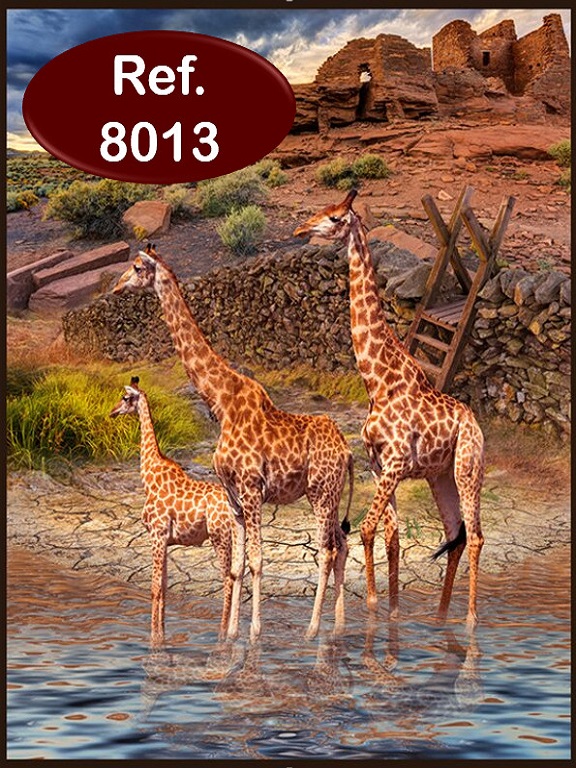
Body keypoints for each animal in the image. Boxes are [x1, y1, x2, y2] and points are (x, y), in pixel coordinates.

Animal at [110, 376, 244, 647]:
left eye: (125, 397)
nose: (112, 412)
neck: (149, 475)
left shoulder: (157, 534)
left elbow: (154, 588)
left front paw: (154, 638)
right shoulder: (166, 540)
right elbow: (164, 587)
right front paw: (162, 634)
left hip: (219, 537)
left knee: (227, 579)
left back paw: (221, 634)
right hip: (233, 536)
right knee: (237, 577)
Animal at [294, 190, 485, 630]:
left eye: (335, 218)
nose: (299, 229)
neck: (377, 381)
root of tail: (476, 424)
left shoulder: (396, 462)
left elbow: (366, 530)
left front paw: (372, 607)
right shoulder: (381, 465)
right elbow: (391, 537)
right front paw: (393, 614)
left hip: (468, 468)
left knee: (476, 535)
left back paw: (469, 622)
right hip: (439, 476)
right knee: (455, 533)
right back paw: (440, 616)